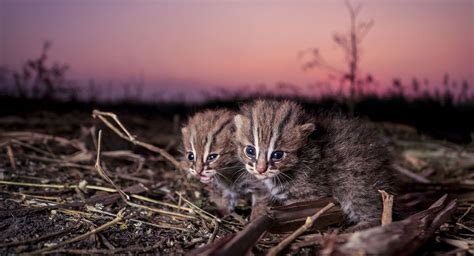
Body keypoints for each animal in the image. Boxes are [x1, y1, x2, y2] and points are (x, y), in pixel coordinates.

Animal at [234, 99, 396, 223]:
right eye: (250, 151)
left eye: (278, 155)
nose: (261, 169)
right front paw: (256, 214)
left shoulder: (309, 196)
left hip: (356, 187)